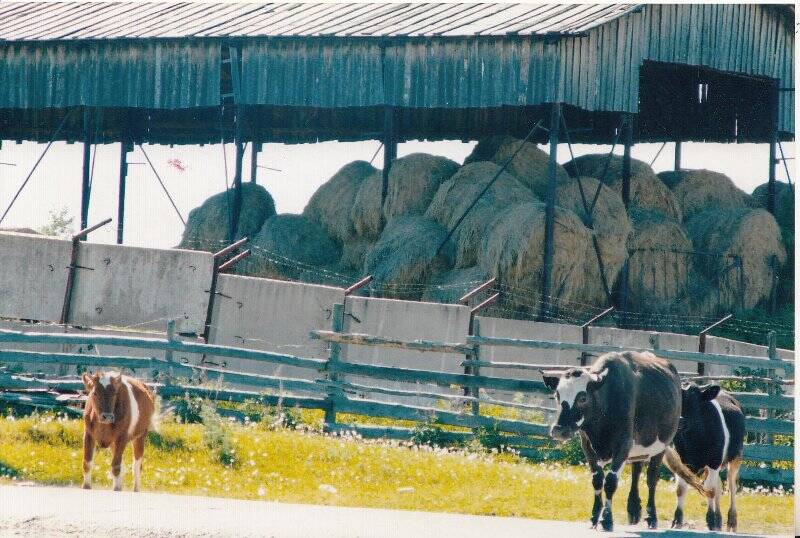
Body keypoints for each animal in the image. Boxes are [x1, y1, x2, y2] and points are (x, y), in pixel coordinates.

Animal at [544, 350, 708, 528]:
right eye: (557, 395)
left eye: (582, 397)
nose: (558, 430)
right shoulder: (587, 447)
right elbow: (597, 480)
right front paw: (594, 516)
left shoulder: (622, 445)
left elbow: (610, 482)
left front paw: (607, 519)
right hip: (638, 449)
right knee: (636, 472)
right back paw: (634, 509)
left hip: (661, 446)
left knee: (651, 479)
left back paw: (651, 516)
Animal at [672, 384, 748, 528]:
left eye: (696, 403)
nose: (680, 421)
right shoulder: (682, 460)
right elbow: (681, 489)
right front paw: (677, 521)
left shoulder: (714, 461)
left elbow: (710, 490)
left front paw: (711, 519)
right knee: (718, 486)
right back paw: (718, 519)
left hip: (736, 457)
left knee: (731, 485)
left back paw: (731, 521)